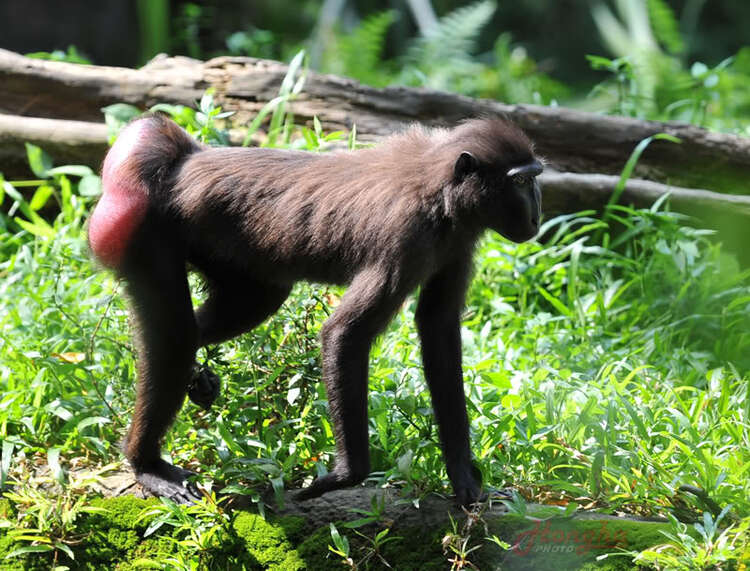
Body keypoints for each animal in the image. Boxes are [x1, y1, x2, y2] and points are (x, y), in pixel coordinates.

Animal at [91, 115, 544, 504]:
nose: (538, 214)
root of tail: (183, 163)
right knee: (175, 337)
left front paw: (464, 478)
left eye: (534, 178)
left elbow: (437, 330)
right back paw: (146, 464)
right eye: (521, 181)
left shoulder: (457, 242)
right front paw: (346, 475)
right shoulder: (408, 236)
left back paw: (197, 379)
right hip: (145, 232)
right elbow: (344, 335)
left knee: (244, 307)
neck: (440, 187)